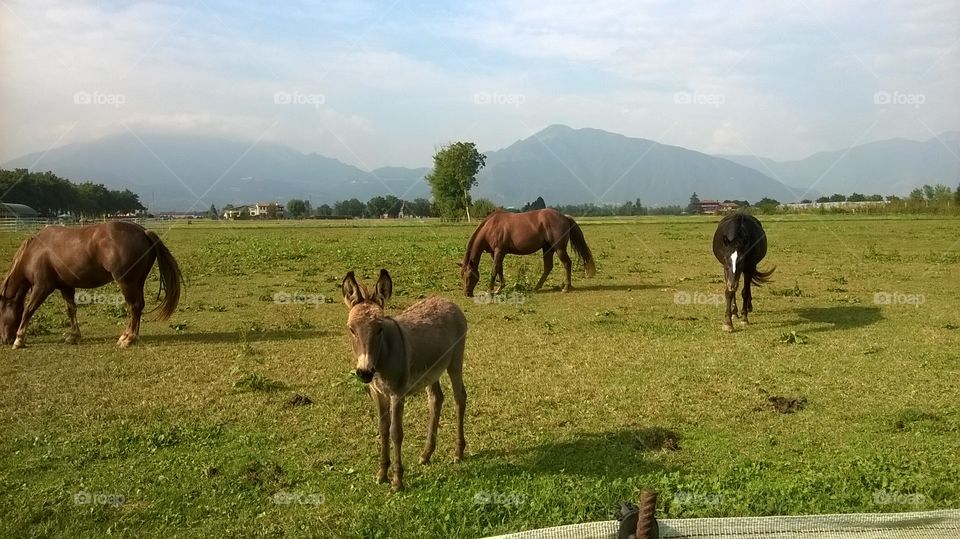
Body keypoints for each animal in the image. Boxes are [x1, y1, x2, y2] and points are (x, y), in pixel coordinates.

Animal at [0, 221, 183, 349]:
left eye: (0, 312)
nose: (5, 339)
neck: (36, 251)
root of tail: (143, 231)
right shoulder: (66, 286)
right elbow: (71, 310)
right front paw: (74, 335)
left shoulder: (42, 287)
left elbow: (28, 310)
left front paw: (19, 339)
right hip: (138, 282)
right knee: (139, 307)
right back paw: (130, 336)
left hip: (127, 282)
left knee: (134, 306)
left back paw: (128, 339)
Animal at [341, 269, 467, 491]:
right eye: (351, 329)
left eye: (379, 329)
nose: (364, 372)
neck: (382, 357)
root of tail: (447, 300)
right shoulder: (377, 393)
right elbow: (383, 430)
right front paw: (382, 473)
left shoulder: (397, 394)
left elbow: (395, 432)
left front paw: (397, 480)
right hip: (432, 371)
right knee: (436, 399)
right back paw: (426, 454)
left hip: (455, 362)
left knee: (460, 397)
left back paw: (458, 453)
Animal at [458, 208, 596, 297]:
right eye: (462, 275)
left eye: (469, 276)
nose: (467, 294)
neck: (491, 227)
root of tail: (565, 217)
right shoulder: (495, 253)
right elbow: (499, 269)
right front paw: (499, 288)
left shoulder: (499, 251)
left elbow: (494, 270)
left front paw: (489, 290)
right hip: (547, 248)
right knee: (548, 267)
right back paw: (537, 287)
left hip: (559, 248)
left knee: (567, 263)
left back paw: (566, 288)